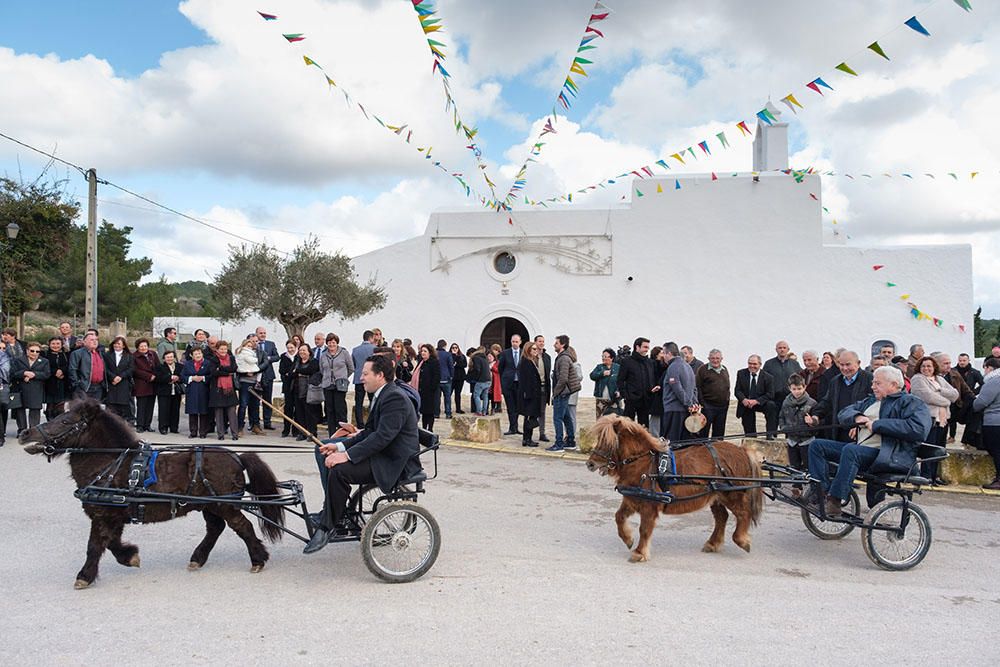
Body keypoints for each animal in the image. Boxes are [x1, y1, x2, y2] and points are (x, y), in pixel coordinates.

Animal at [20, 400, 286, 588]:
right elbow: (111, 543)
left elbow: (95, 545)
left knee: (243, 527)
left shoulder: (103, 515)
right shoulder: (114, 515)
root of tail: (237, 456)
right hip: (210, 505)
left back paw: (258, 560)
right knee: (215, 528)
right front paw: (130, 557)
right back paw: (198, 558)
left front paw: (84, 576)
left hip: (225, 505)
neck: (112, 463)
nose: (25, 433)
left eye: (66, 422)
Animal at [584, 418, 760, 564]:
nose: (590, 464)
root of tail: (742, 450)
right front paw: (628, 539)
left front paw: (639, 553)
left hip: (732, 494)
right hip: (716, 495)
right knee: (722, 517)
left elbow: (644, 529)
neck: (643, 462)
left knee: (743, 513)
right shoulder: (632, 499)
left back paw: (742, 540)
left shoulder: (649, 505)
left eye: (608, 442)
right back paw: (712, 543)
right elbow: (619, 517)